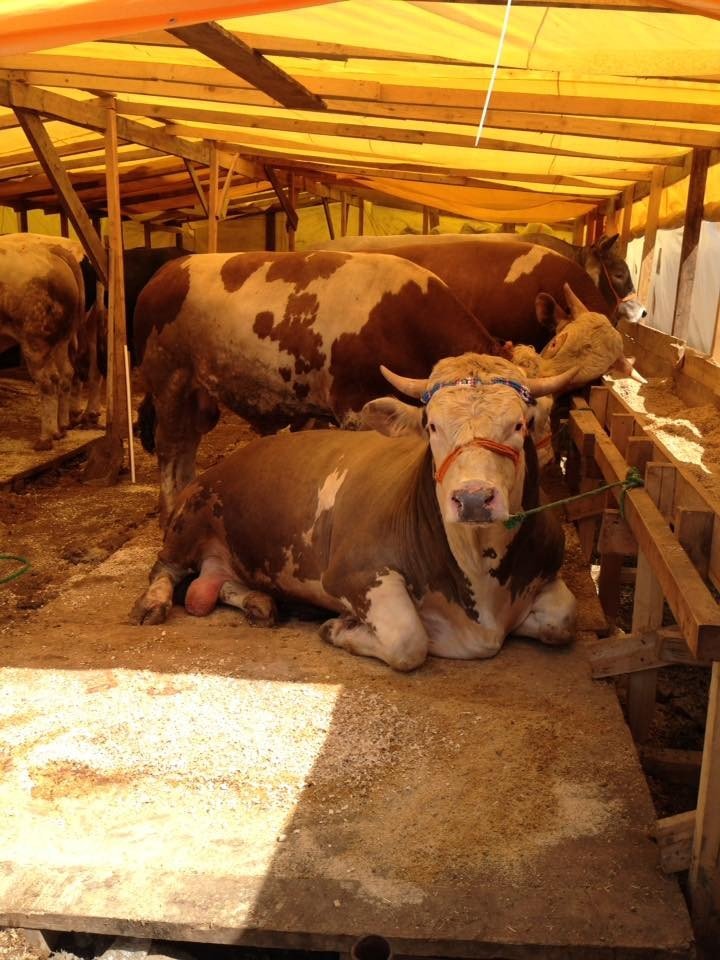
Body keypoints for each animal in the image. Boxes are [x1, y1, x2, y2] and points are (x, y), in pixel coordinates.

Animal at [0, 236, 83, 449]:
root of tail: (49, 250)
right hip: (62, 339)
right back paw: (61, 428)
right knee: (65, 374)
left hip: (35, 341)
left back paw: (46, 438)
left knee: (47, 381)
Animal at [130, 352, 577, 671]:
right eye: (431, 425)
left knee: (214, 580)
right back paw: (153, 603)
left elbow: (564, 620)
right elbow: (407, 639)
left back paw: (259, 602)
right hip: (190, 518)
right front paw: (338, 627)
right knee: (165, 569)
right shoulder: (353, 571)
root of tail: (225, 460)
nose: (471, 498)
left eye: (519, 425)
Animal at [134, 251, 629, 523]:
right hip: (170, 382)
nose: (542, 461)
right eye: (533, 417)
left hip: (199, 396)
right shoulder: (354, 406)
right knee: (172, 451)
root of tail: (166, 272)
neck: (403, 317)